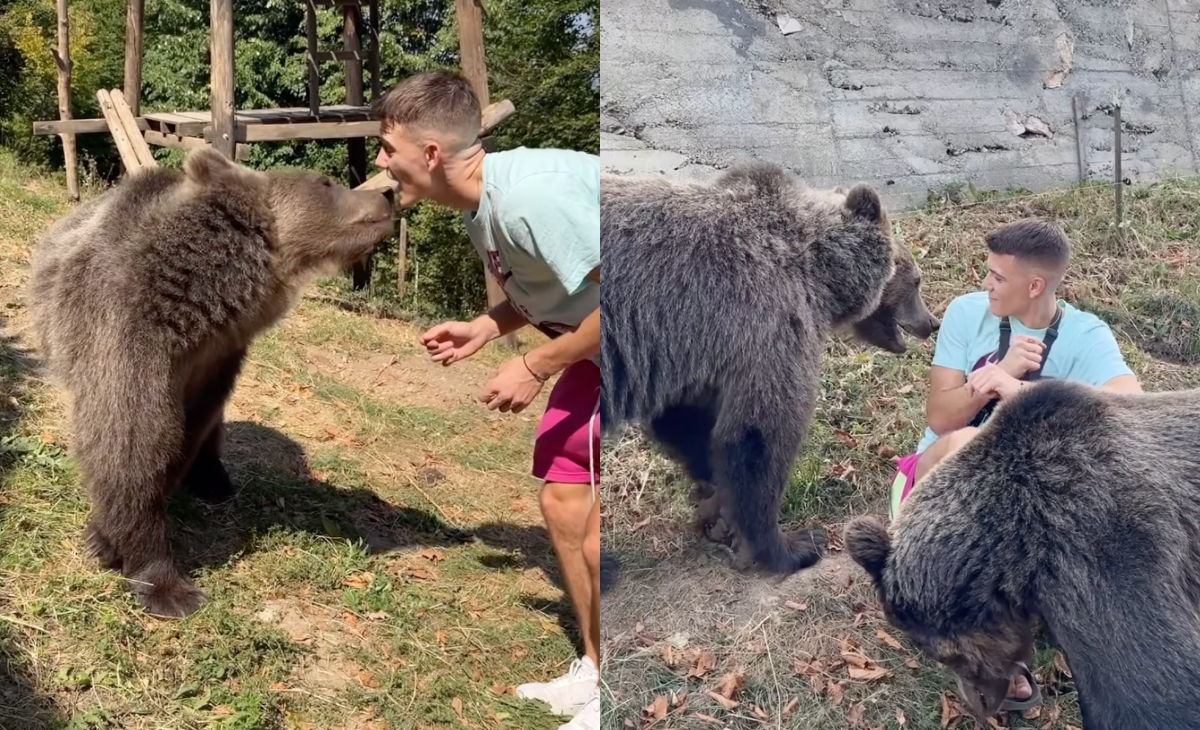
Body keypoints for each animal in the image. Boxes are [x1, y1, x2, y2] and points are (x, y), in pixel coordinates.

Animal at [25, 148, 398, 614]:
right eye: (326, 182)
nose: (387, 196)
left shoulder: (218, 358)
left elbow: (184, 434)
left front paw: (114, 539)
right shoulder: (126, 332)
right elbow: (131, 443)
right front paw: (161, 580)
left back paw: (214, 479)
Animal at [604, 160, 940, 576]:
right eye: (916, 281)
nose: (932, 322)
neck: (820, 273)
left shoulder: (697, 351)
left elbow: (686, 422)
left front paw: (715, 505)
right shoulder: (767, 319)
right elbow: (760, 434)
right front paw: (793, 544)